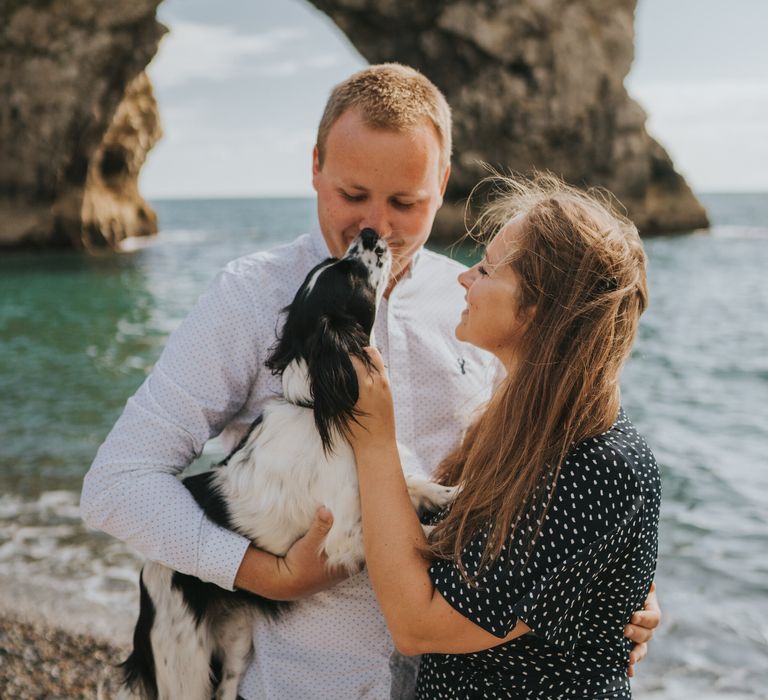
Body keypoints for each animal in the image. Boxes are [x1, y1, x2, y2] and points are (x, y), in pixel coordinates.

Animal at [118, 230, 456, 700]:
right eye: (353, 274)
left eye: (344, 261)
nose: (369, 233)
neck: (319, 407)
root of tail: (146, 575)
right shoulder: (343, 534)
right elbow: (406, 539)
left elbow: (413, 485)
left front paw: (448, 494)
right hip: (184, 663)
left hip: (237, 639)